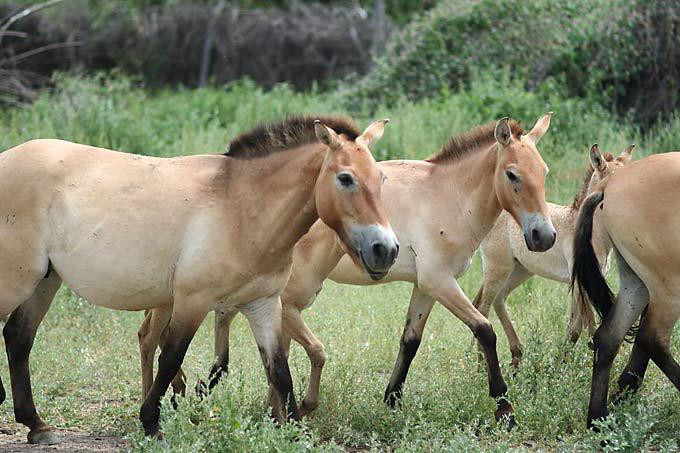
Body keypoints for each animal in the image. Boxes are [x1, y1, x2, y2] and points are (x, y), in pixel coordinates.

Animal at [0, 115, 398, 444]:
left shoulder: (264, 305)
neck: (241, 208)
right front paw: (151, 423)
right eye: (345, 178)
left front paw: (295, 428)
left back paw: (37, 425)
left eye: (381, 179)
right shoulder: (193, 302)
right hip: (17, 282)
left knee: (18, 338)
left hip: (45, 282)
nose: (386, 249)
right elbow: (171, 358)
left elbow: (279, 370)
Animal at [139, 113, 556, 424]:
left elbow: (410, 340)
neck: (447, 197)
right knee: (160, 334)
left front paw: (392, 399)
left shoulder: (426, 286)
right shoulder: (440, 282)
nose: (543, 236)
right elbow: (485, 331)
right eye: (513, 174)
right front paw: (504, 407)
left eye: (545, 172)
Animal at [470, 146, 636, 368]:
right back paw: (481, 367)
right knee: (483, 307)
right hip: (498, 269)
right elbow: (590, 327)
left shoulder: (580, 284)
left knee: (497, 300)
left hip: (520, 270)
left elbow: (574, 330)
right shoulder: (581, 285)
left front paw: (560, 367)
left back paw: (515, 357)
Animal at [572, 149, 680, 428]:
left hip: (637, 284)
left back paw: (597, 419)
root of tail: (610, 184)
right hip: (669, 289)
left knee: (609, 336)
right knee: (652, 339)